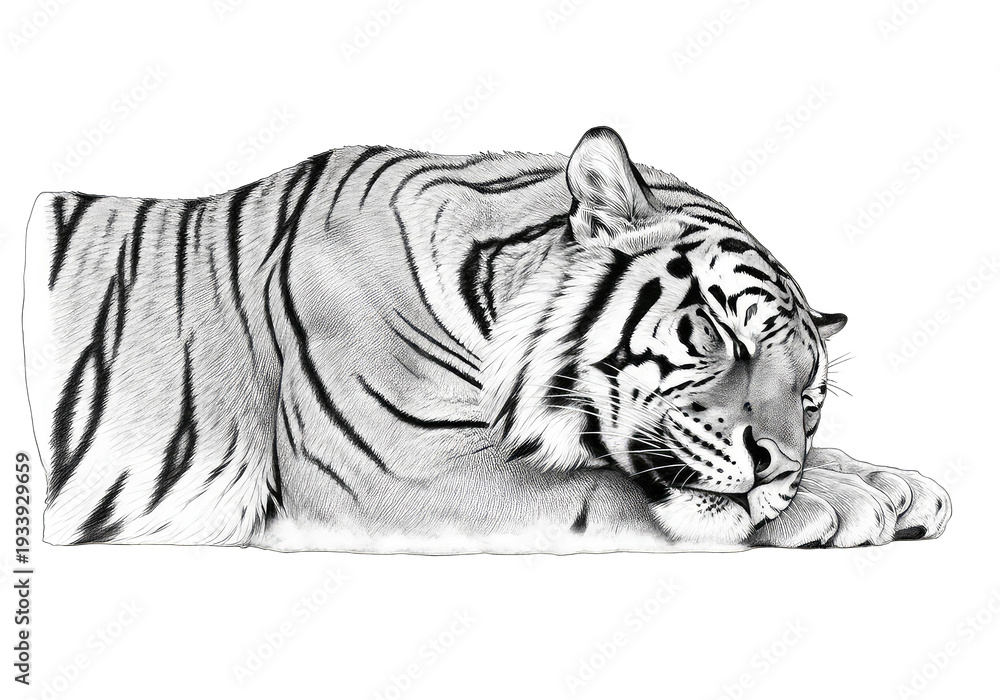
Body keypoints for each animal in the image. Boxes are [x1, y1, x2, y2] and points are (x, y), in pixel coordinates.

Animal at [23, 126, 951, 552]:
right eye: (725, 334)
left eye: (811, 398)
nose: (781, 463)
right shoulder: (404, 472)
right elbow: (610, 490)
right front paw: (833, 503)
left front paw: (894, 486)